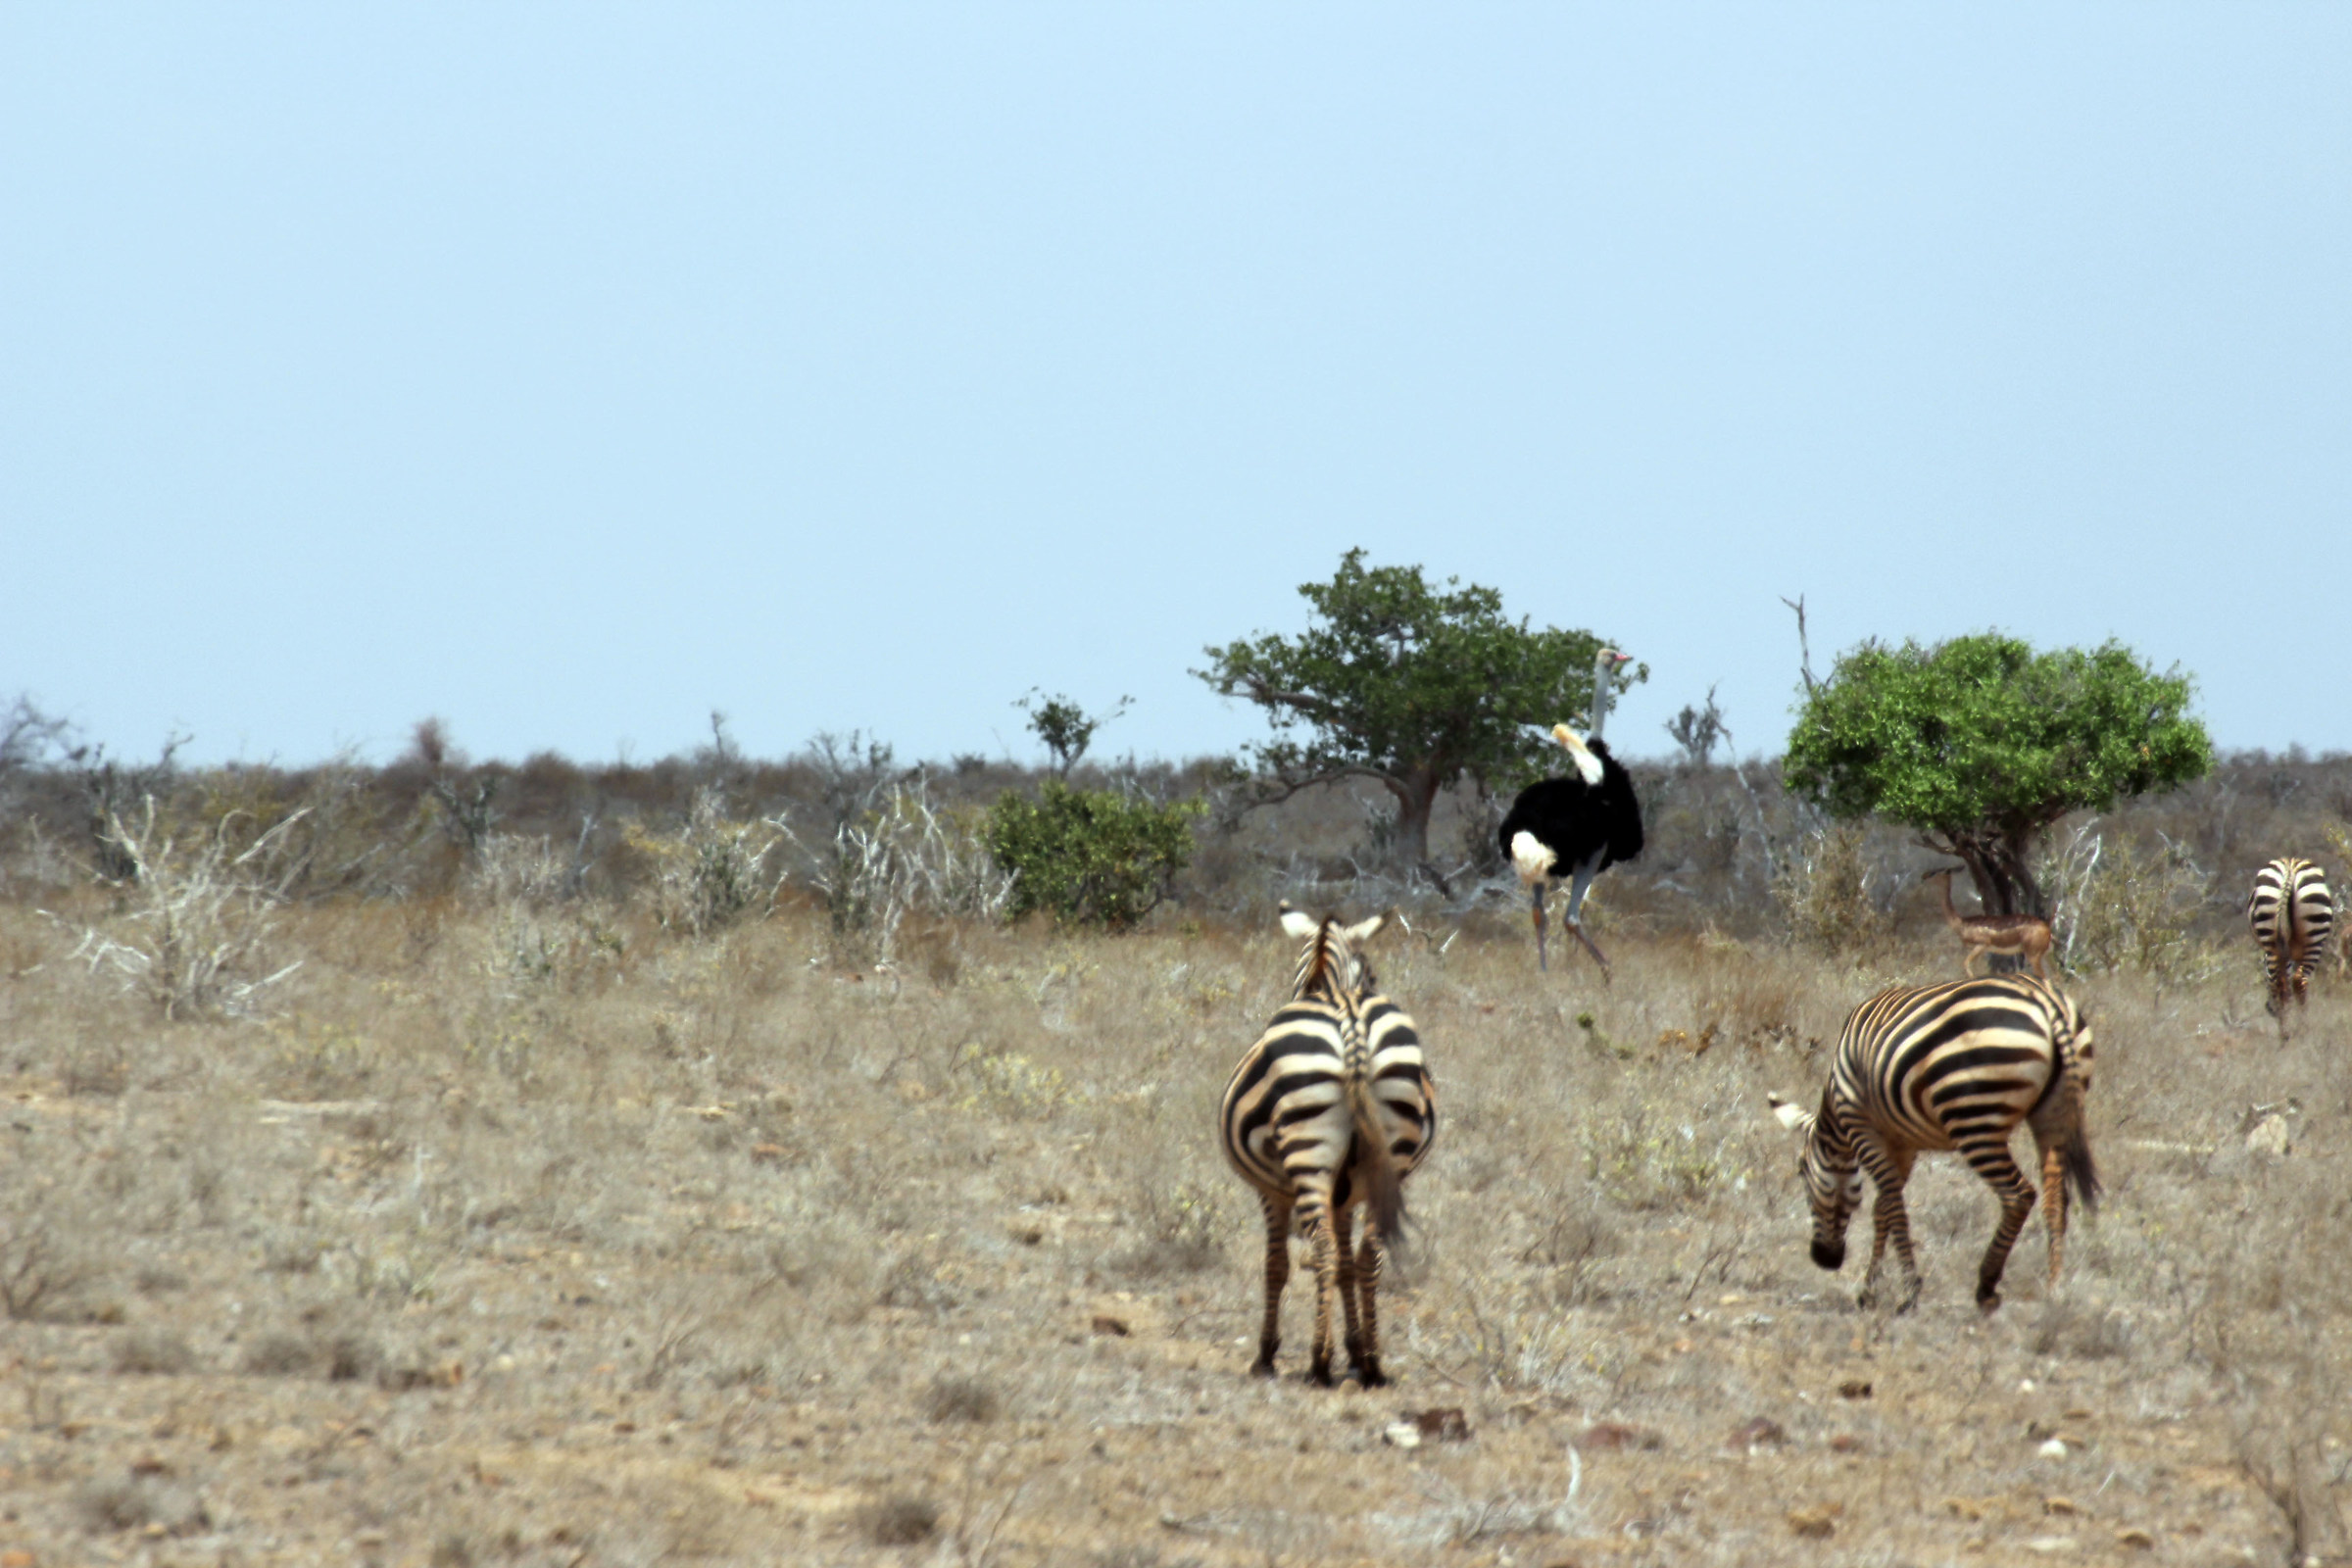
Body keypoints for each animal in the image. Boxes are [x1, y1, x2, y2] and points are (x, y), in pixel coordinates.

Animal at [1218, 904, 1436, 1386]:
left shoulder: (1271, 1191)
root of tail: (1350, 1020)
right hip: (1387, 1155)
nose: (1374, 983)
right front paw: (1354, 1349)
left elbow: (1277, 1265)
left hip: (1307, 1152)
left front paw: (1266, 1353)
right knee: (1366, 1254)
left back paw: (1319, 1359)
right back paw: (1372, 1363)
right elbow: (1347, 1266)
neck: (1324, 984)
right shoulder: (1347, 1195)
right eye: (1371, 972)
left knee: (1321, 1250)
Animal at [1766, 975, 2098, 1314]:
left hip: (1974, 1118)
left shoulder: (1862, 1127)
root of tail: (2047, 1002)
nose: (1825, 1259)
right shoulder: (1903, 1142)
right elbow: (1882, 1207)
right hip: (2053, 1114)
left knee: (2019, 1195)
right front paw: (1870, 1291)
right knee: (2056, 1199)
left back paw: (1986, 1285)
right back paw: (2054, 1290)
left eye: (1801, 1172)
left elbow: (1893, 1205)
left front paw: (1908, 1292)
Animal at [2249, 856, 2335, 1035]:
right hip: (2314, 938)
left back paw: (2286, 1033)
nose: (2269, 1009)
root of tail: (2290, 867)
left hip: (2272, 940)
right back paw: (2300, 1031)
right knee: (2298, 981)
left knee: (2280, 984)